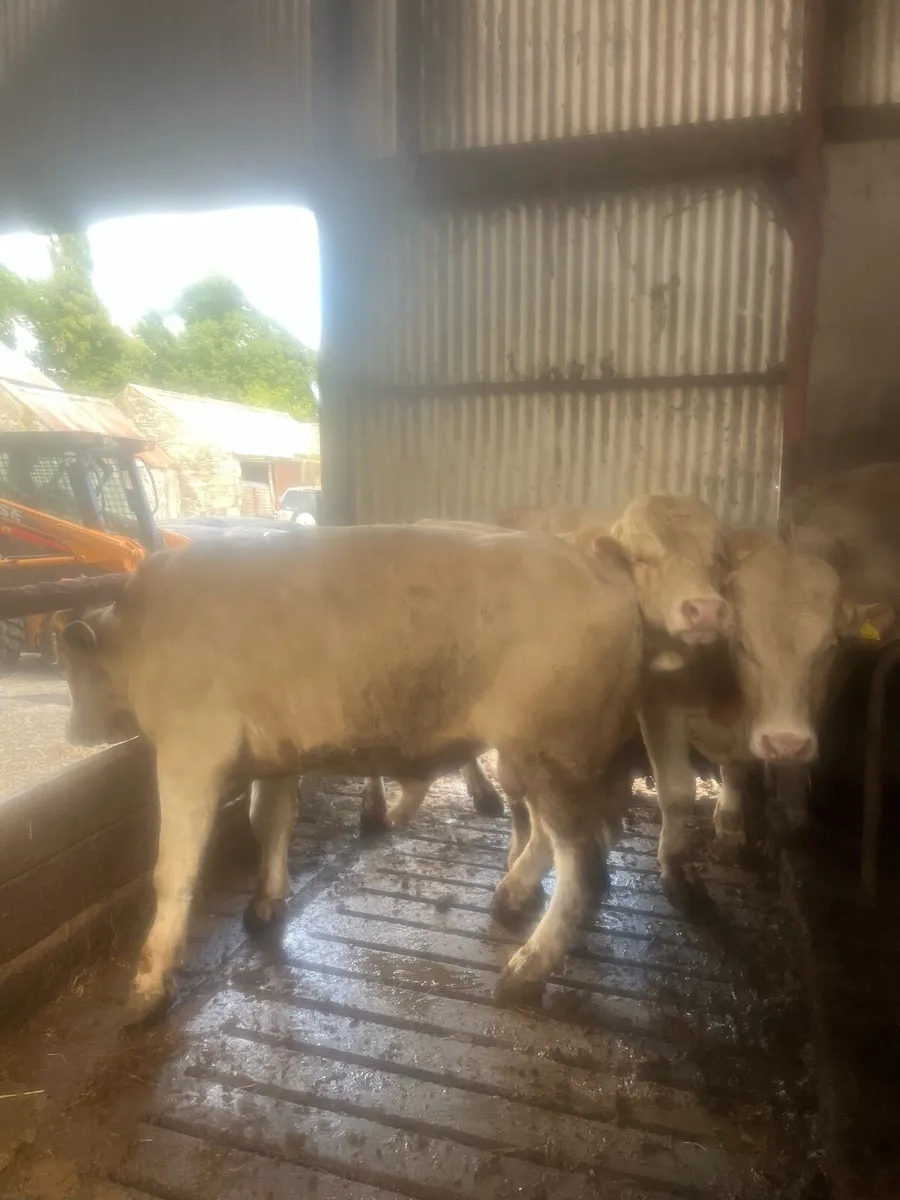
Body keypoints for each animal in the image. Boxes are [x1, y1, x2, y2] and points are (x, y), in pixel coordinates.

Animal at [58, 524, 643, 1019]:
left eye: (70, 673)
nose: (72, 731)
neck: (142, 632)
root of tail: (589, 555)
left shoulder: (192, 750)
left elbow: (174, 869)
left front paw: (150, 982)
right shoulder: (276, 752)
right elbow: (269, 821)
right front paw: (266, 901)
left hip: (549, 750)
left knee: (577, 860)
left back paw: (527, 969)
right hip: (540, 757)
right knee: (551, 837)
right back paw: (513, 896)